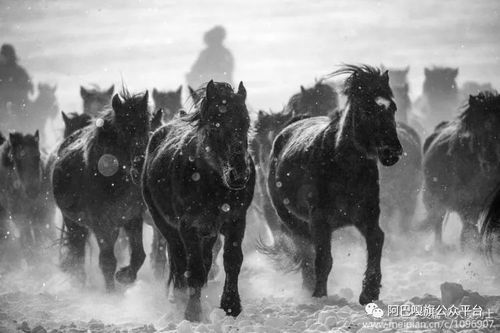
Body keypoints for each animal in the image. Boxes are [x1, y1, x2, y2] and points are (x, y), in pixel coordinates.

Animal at [53, 87, 150, 288]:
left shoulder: (132, 219)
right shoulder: (102, 225)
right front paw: (111, 292)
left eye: (146, 126)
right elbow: (107, 262)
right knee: (77, 253)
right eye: (124, 129)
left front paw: (125, 276)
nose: (140, 166)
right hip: (73, 223)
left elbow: (138, 255)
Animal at [143, 80, 256, 320]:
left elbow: (232, 260)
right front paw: (192, 312)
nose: (239, 175)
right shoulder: (189, 226)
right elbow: (193, 269)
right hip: (166, 226)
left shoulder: (235, 221)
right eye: (215, 125)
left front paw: (231, 306)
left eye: (246, 122)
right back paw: (179, 297)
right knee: (178, 260)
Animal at [266, 65, 402, 304]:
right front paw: (319, 296)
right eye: (367, 110)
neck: (342, 166)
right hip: (292, 220)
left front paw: (369, 292)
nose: (392, 151)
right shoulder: (320, 221)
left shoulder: (366, 216)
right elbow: (323, 259)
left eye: (392, 107)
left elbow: (376, 241)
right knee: (306, 252)